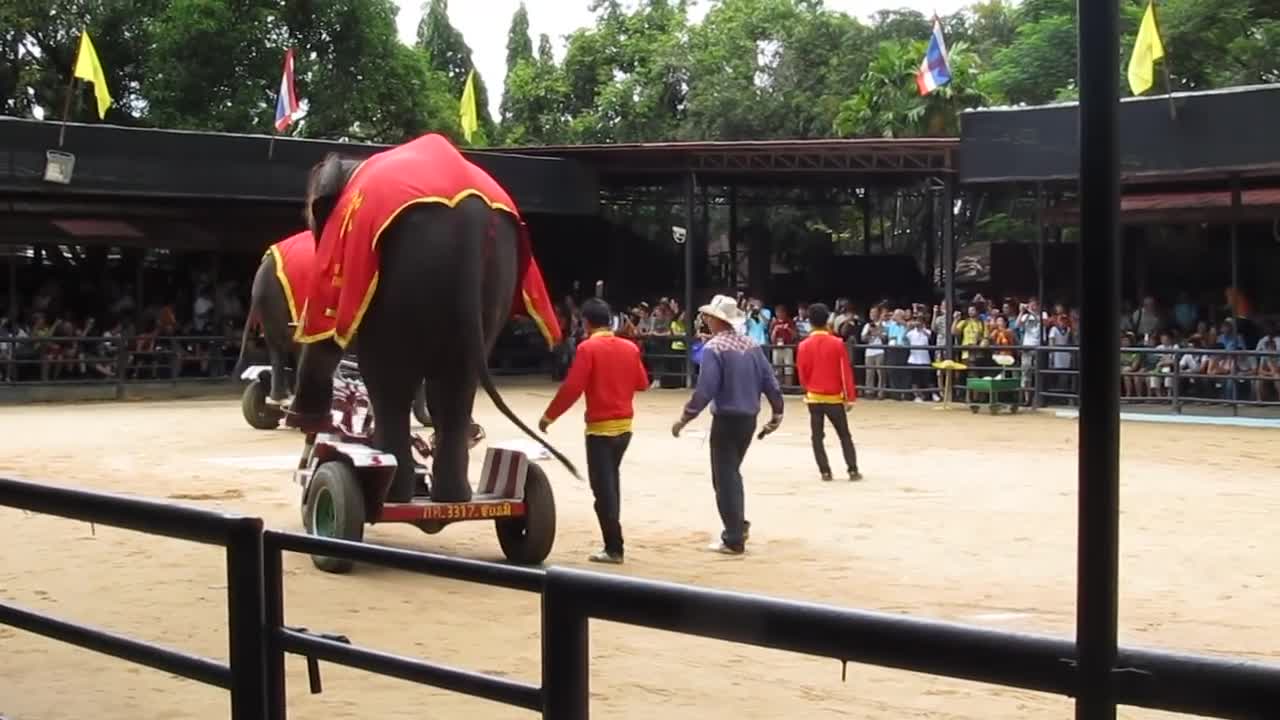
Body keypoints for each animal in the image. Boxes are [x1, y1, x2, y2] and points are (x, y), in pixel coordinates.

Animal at [288, 135, 578, 504]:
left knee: (388, 378)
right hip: (494, 272)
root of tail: (470, 214)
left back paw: (394, 493)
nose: (299, 419)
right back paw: (452, 496)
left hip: (408, 272)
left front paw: (306, 420)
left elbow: (325, 329)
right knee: (457, 384)